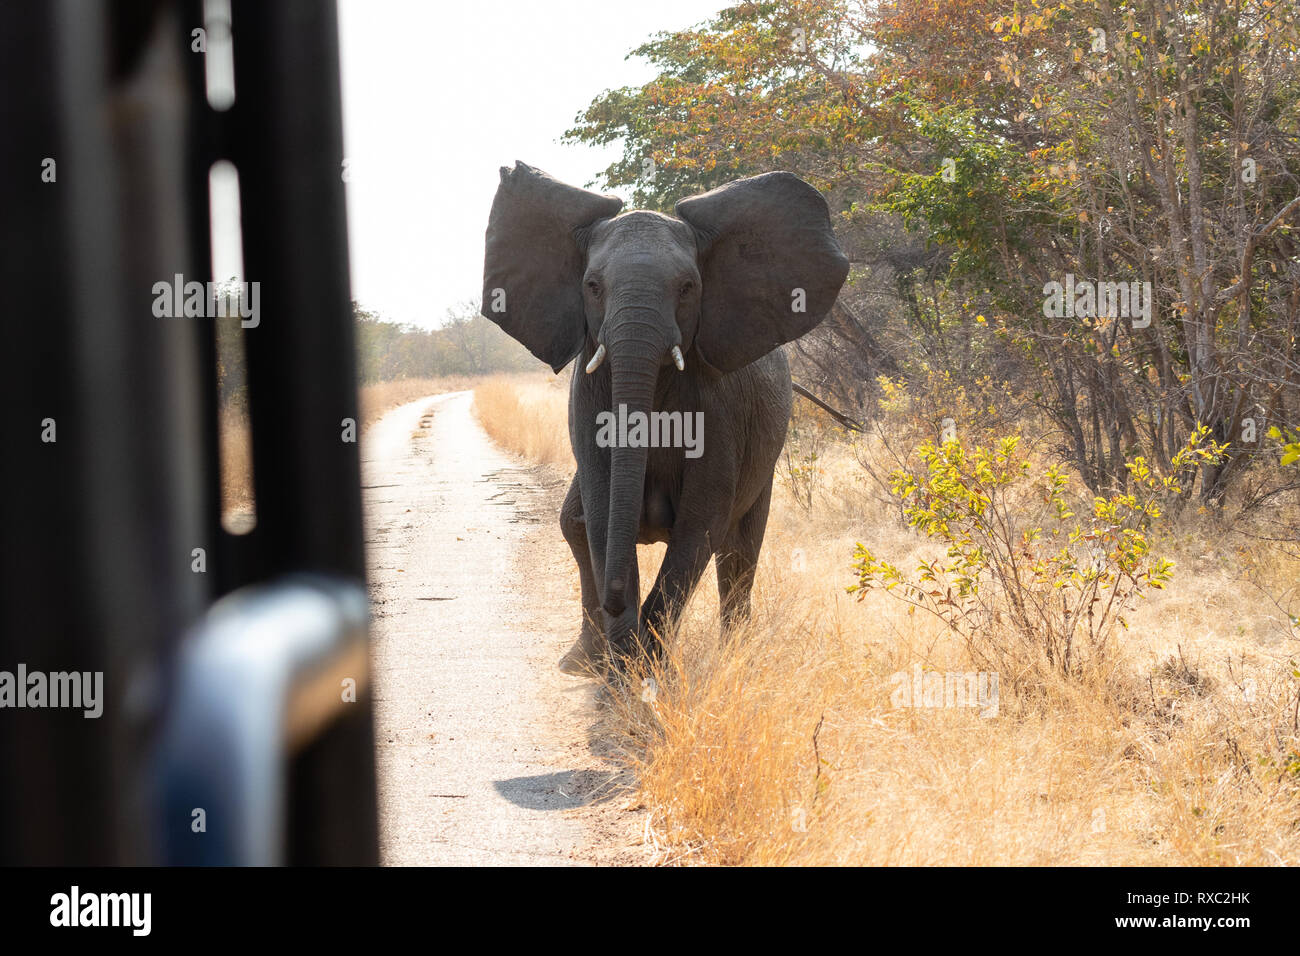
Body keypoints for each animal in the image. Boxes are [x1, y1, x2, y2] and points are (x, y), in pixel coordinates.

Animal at [483, 162, 847, 671]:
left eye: (688, 288)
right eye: (592, 287)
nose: (615, 601)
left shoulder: (719, 405)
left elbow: (700, 527)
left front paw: (648, 667)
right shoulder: (588, 393)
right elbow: (600, 513)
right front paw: (623, 668)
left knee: (739, 551)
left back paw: (730, 652)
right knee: (575, 524)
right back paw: (581, 661)